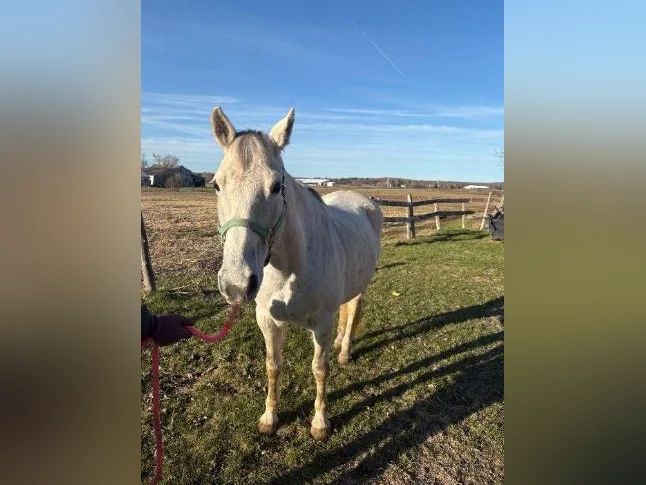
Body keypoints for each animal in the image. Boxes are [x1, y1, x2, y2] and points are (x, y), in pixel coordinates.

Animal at [211, 106, 383, 440]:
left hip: (360, 287)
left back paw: (344, 352)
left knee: (353, 310)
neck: (288, 270)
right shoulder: (267, 320)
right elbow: (273, 365)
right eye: (215, 185)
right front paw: (269, 418)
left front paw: (320, 423)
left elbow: (320, 368)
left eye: (276, 186)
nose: (236, 284)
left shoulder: (321, 324)